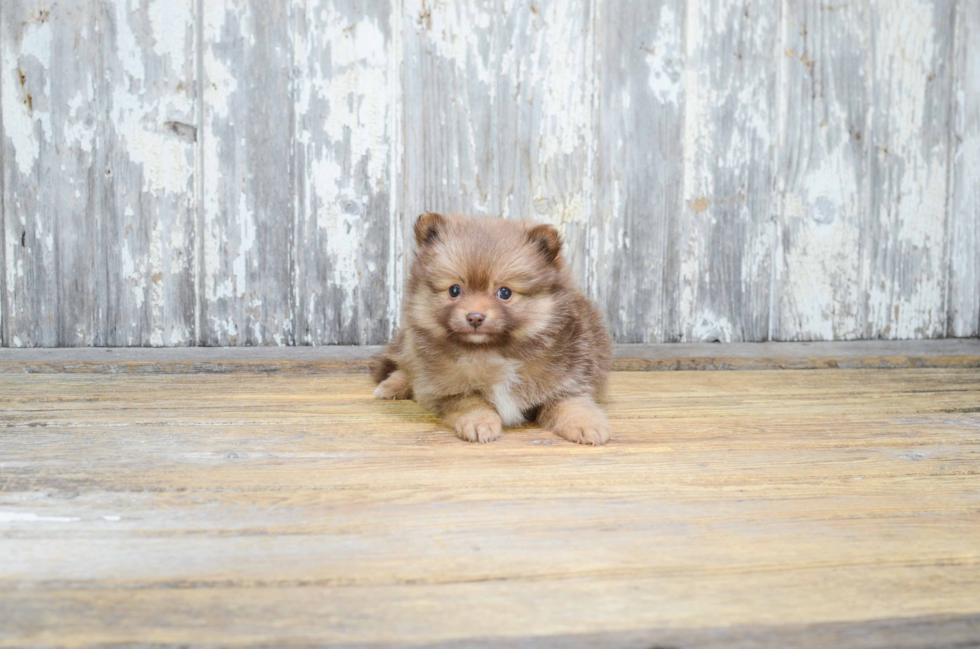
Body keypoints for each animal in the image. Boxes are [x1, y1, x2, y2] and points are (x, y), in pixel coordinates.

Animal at [376, 213, 612, 446]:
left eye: (505, 292)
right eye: (454, 290)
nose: (475, 317)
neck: (491, 352)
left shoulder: (568, 380)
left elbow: (571, 404)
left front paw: (587, 425)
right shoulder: (446, 388)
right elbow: (471, 401)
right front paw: (479, 422)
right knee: (406, 365)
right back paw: (391, 386)